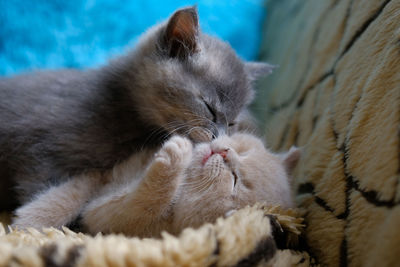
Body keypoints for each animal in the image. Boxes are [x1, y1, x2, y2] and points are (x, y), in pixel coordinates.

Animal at [13, 134, 300, 239]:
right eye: (244, 150)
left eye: (235, 181)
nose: (225, 152)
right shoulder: (102, 176)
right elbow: (69, 194)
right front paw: (30, 223)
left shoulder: (107, 216)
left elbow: (145, 200)